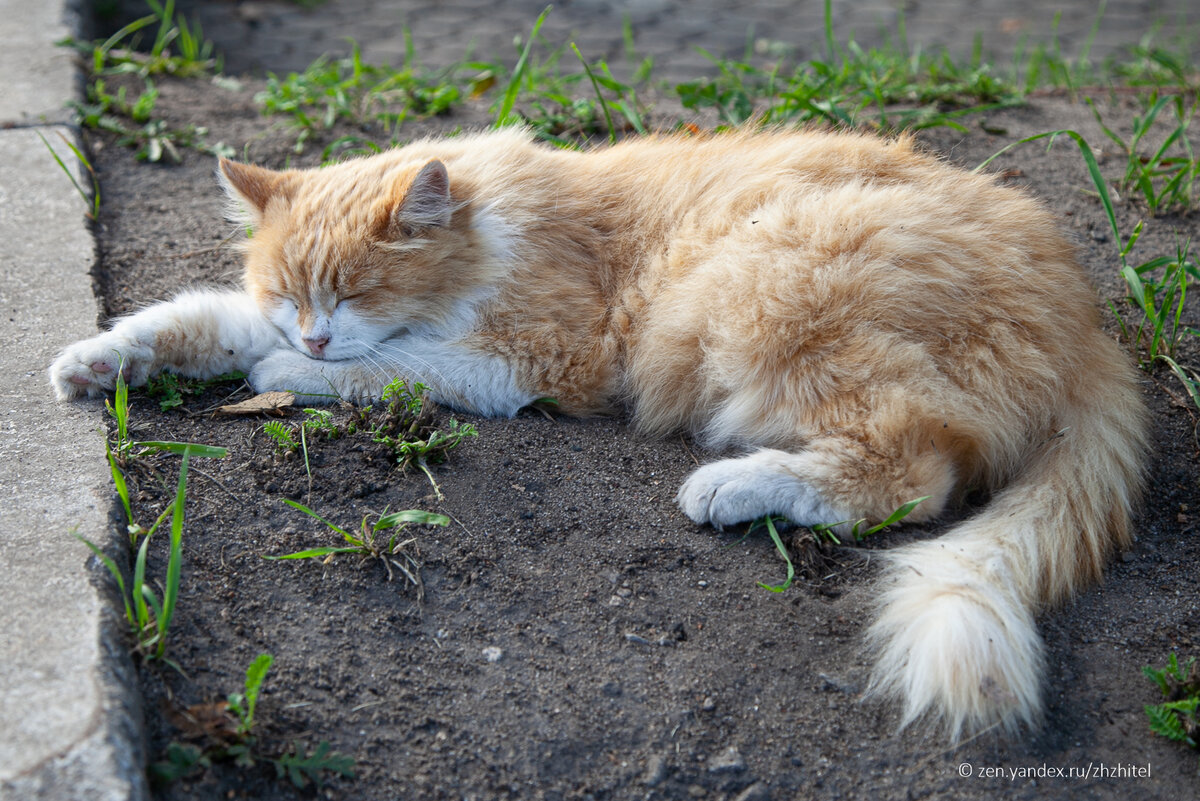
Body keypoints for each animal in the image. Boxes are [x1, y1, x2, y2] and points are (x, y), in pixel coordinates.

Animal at [51, 126, 1147, 738]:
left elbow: (390, 367)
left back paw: (737, 486)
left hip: (774, 285)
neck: (494, 230)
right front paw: (99, 361)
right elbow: (192, 319)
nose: (314, 333)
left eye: (355, 292)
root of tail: (1090, 323)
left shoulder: (532, 359)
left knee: (913, 472)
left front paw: (294, 375)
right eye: (290, 292)